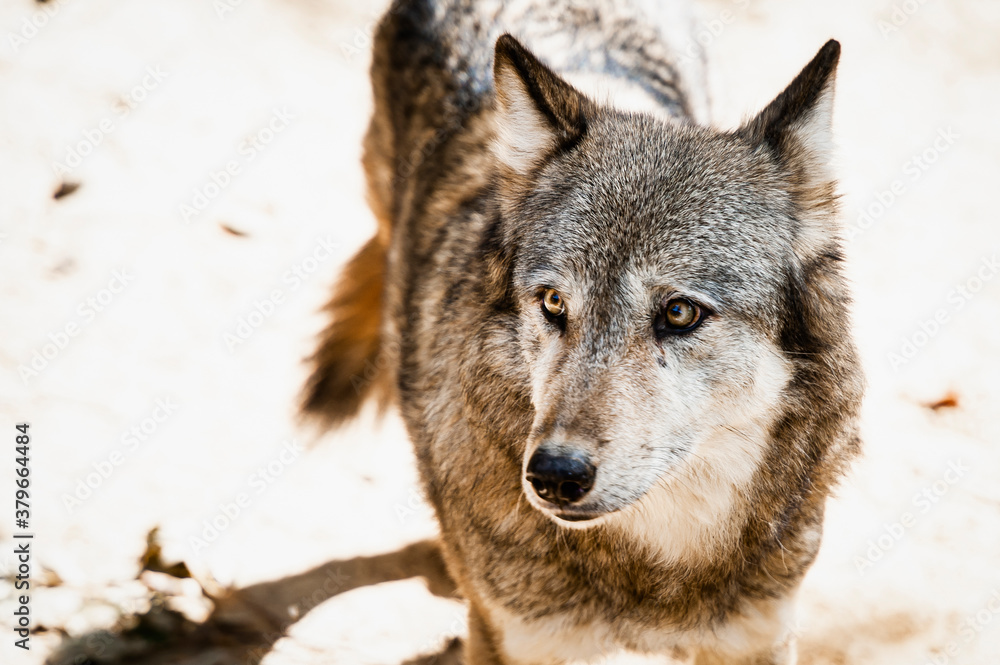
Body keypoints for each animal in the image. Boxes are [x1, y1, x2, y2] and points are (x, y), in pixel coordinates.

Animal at [300, 2, 864, 660]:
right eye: (553, 303)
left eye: (680, 313)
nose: (554, 476)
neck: (656, 577)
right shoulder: (517, 641)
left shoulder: (762, 635)